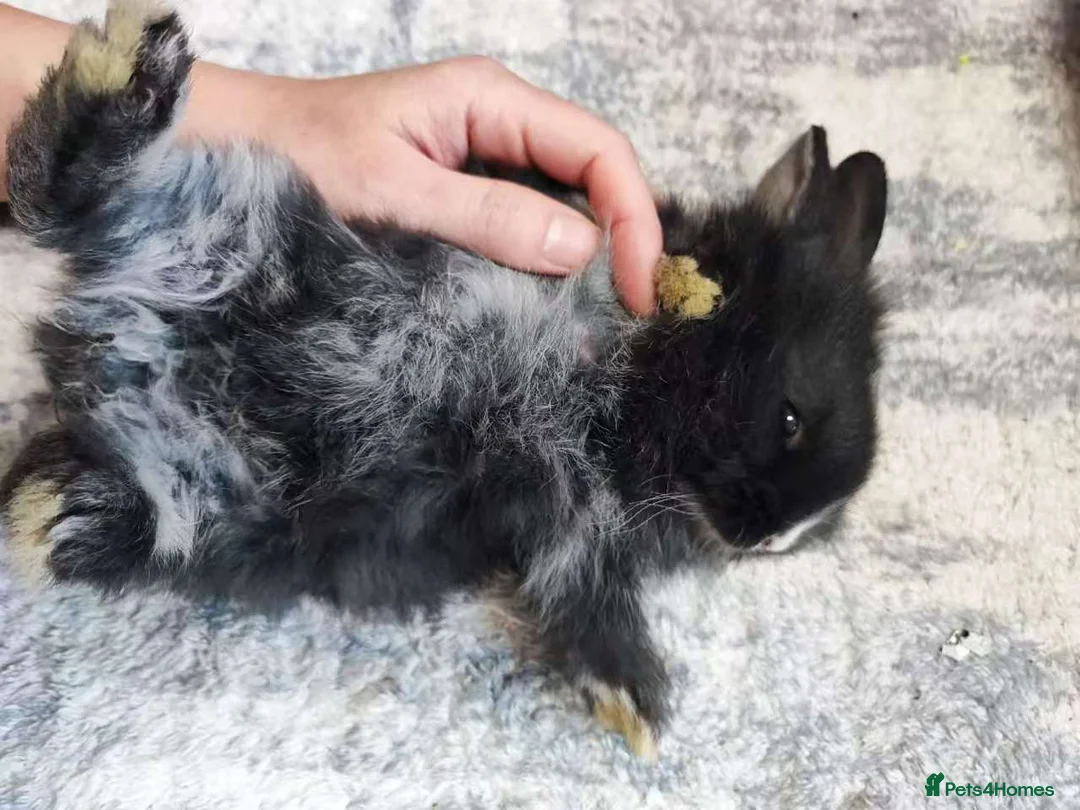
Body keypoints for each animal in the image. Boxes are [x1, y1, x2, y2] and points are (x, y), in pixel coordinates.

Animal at [0, 0, 886, 757]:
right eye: (791, 418)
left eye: (818, 531)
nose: (769, 538)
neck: (630, 407)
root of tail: (96, 342)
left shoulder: (572, 522)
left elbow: (586, 600)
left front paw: (630, 708)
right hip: (223, 210)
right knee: (58, 195)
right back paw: (129, 65)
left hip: (225, 493)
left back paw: (54, 513)